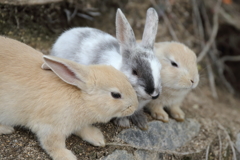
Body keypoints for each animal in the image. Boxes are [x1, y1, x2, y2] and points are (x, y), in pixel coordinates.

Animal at [0, 36, 138, 160]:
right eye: (115, 95)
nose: (134, 107)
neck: (83, 99)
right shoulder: (49, 128)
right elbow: (53, 146)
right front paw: (67, 157)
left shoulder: (77, 124)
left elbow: (84, 130)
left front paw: (98, 139)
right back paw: (7, 129)